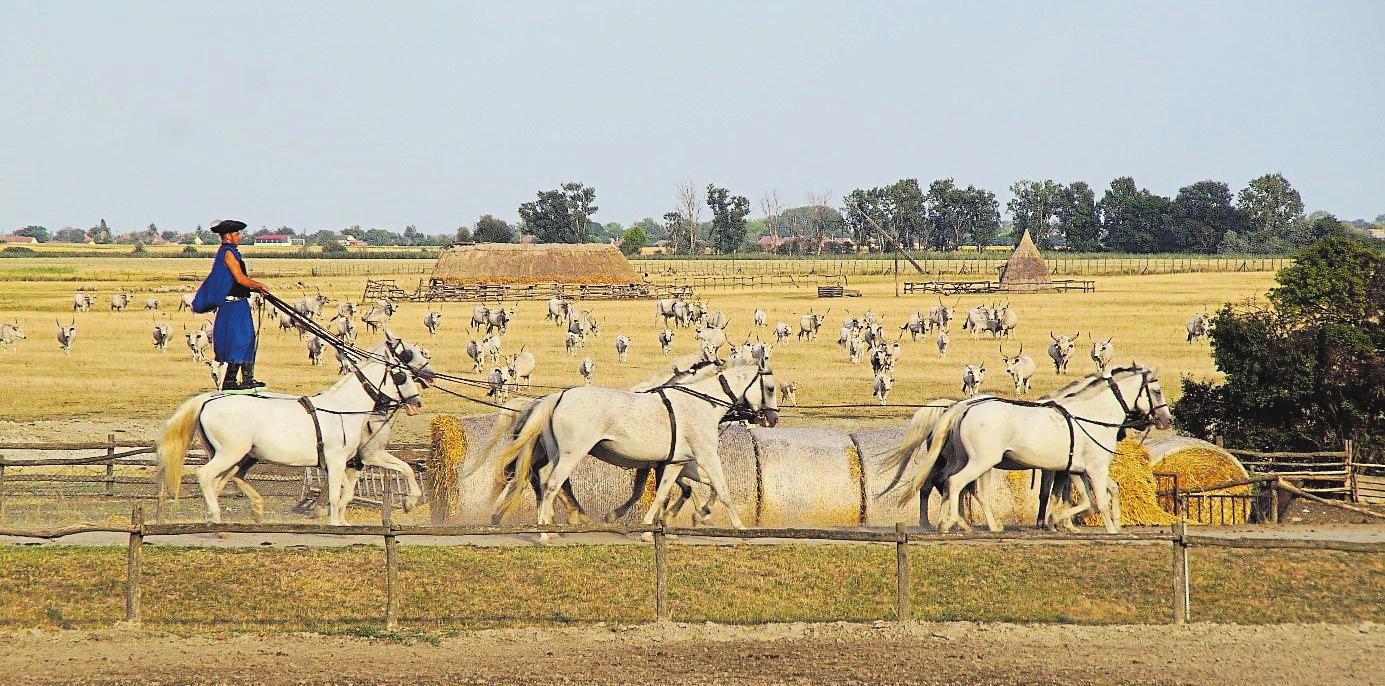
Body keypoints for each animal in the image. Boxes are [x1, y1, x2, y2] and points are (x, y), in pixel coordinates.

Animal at [152, 332, 434, 526]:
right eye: (402, 375)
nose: (417, 402)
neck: (344, 408)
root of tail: (208, 400)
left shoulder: (345, 462)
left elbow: (350, 491)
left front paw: (408, 502)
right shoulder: (337, 460)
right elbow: (336, 495)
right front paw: (336, 523)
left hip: (236, 458)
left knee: (219, 482)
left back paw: (230, 513)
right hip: (230, 454)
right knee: (205, 476)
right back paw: (218, 516)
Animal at [493, 363, 781, 540]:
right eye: (770, 388)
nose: (772, 419)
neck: (703, 403)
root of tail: (558, 396)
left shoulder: (676, 462)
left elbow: (665, 492)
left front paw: (650, 527)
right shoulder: (706, 456)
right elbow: (722, 490)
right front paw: (740, 529)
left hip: (556, 454)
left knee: (544, 480)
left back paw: (553, 523)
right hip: (572, 455)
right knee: (553, 484)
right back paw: (543, 531)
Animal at [886, 368, 1168, 534]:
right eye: (1156, 390)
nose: (1166, 419)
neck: (1091, 415)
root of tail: (961, 407)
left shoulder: (1075, 469)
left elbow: (1089, 498)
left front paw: (1058, 521)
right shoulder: (1093, 469)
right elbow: (1095, 499)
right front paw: (1108, 528)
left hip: (971, 462)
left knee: (952, 486)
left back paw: (960, 522)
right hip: (980, 463)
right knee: (954, 484)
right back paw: (952, 523)